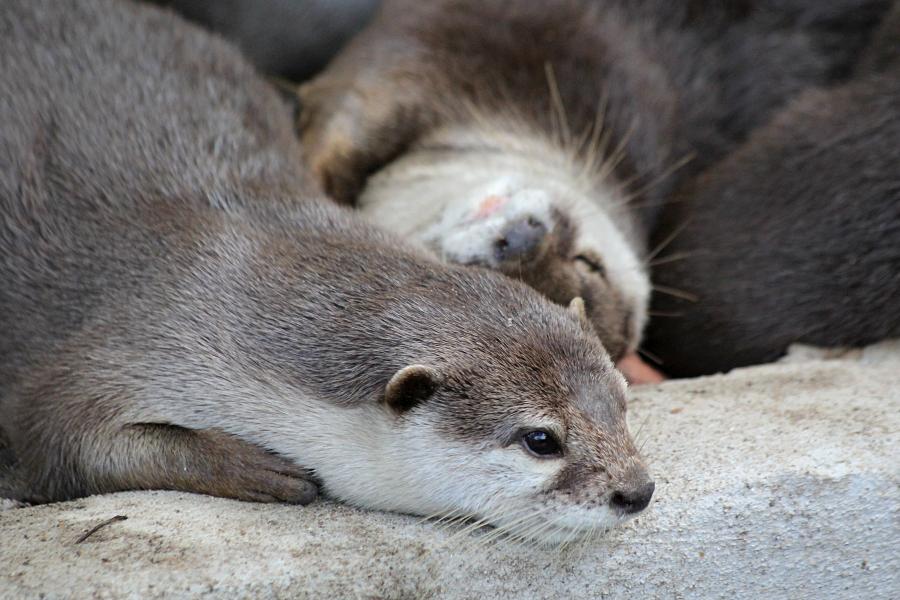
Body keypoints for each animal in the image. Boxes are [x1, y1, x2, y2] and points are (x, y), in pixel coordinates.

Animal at [0, 0, 652, 544]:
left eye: (621, 401)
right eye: (541, 440)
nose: (638, 491)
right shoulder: (132, 338)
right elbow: (59, 440)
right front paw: (256, 468)